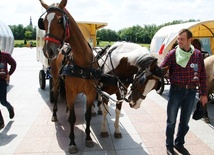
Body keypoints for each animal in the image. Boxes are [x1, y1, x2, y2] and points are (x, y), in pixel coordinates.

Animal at [38, 0, 101, 153]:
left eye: (60, 20)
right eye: (43, 22)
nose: (48, 51)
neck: (82, 63)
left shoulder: (91, 93)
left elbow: (88, 116)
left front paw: (88, 138)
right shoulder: (71, 91)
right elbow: (72, 118)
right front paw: (72, 142)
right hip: (55, 78)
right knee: (55, 94)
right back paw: (55, 115)